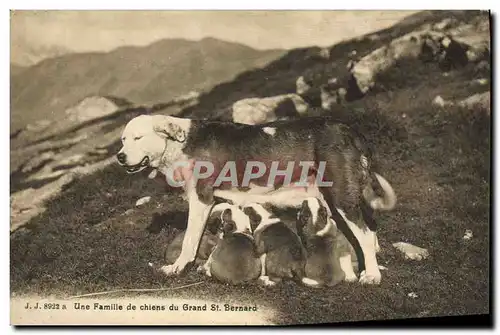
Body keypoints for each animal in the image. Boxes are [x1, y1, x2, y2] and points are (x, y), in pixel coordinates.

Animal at [115, 114, 396, 284]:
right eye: (123, 140)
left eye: (138, 138)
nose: (119, 156)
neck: (180, 144)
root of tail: (349, 130)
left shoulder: (201, 199)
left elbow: (189, 241)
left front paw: (177, 267)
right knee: (368, 227)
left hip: (340, 197)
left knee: (364, 234)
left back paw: (371, 275)